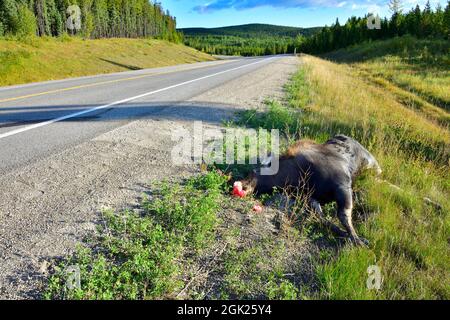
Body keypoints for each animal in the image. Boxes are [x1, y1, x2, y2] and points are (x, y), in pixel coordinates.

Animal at [241, 134, 382, 246]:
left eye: (253, 171)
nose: (240, 184)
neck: (296, 178)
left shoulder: (342, 184)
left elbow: (343, 215)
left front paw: (358, 240)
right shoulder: (311, 199)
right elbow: (323, 220)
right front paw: (351, 237)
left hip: (372, 166)